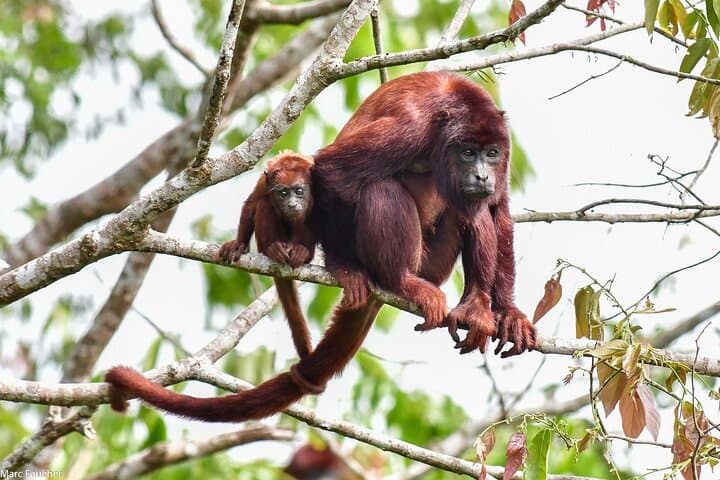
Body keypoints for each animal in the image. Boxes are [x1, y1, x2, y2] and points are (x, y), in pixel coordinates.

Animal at [105, 72, 536, 422]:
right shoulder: (411, 124)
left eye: (492, 154)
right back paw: (399, 281)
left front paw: (510, 313)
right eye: (468, 152)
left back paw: (475, 305)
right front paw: (345, 268)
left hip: (436, 263)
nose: (481, 175)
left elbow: (499, 210)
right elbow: (334, 171)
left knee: (475, 210)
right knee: (381, 188)